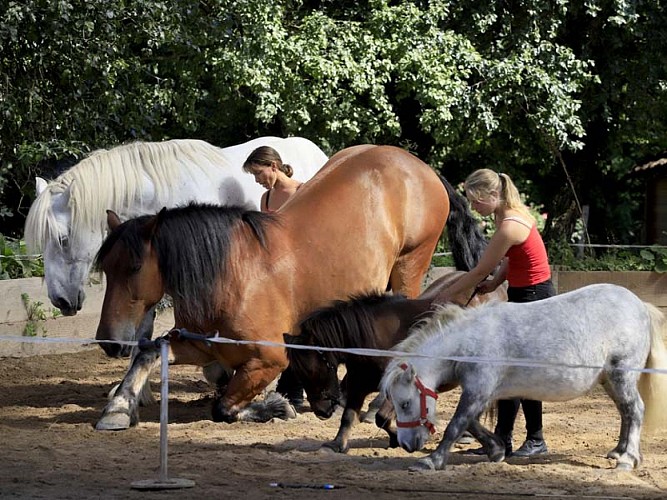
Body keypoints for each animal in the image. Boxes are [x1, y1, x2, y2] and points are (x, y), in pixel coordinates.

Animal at [93, 144, 486, 430]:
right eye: (106, 269)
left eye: (134, 267)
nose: (109, 341)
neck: (231, 278)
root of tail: (420, 166)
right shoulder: (202, 346)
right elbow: (149, 352)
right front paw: (118, 407)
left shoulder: (269, 358)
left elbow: (223, 408)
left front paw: (277, 406)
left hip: (410, 266)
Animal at [283, 269, 508, 453]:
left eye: (312, 370)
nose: (321, 411)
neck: (375, 340)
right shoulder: (358, 383)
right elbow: (349, 416)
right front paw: (337, 444)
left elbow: (381, 418)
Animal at [380, 283, 667, 471]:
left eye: (405, 403)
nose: (407, 444)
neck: (468, 342)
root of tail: (641, 306)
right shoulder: (482, 392)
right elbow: (471, 423)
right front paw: (496, 450)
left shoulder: (477, 390)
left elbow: (456, 424)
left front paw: (431, 461)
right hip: (610, 380)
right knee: (625, 412)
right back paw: (618, 451)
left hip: (622, 375)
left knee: (635, 410)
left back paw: (628, 459)